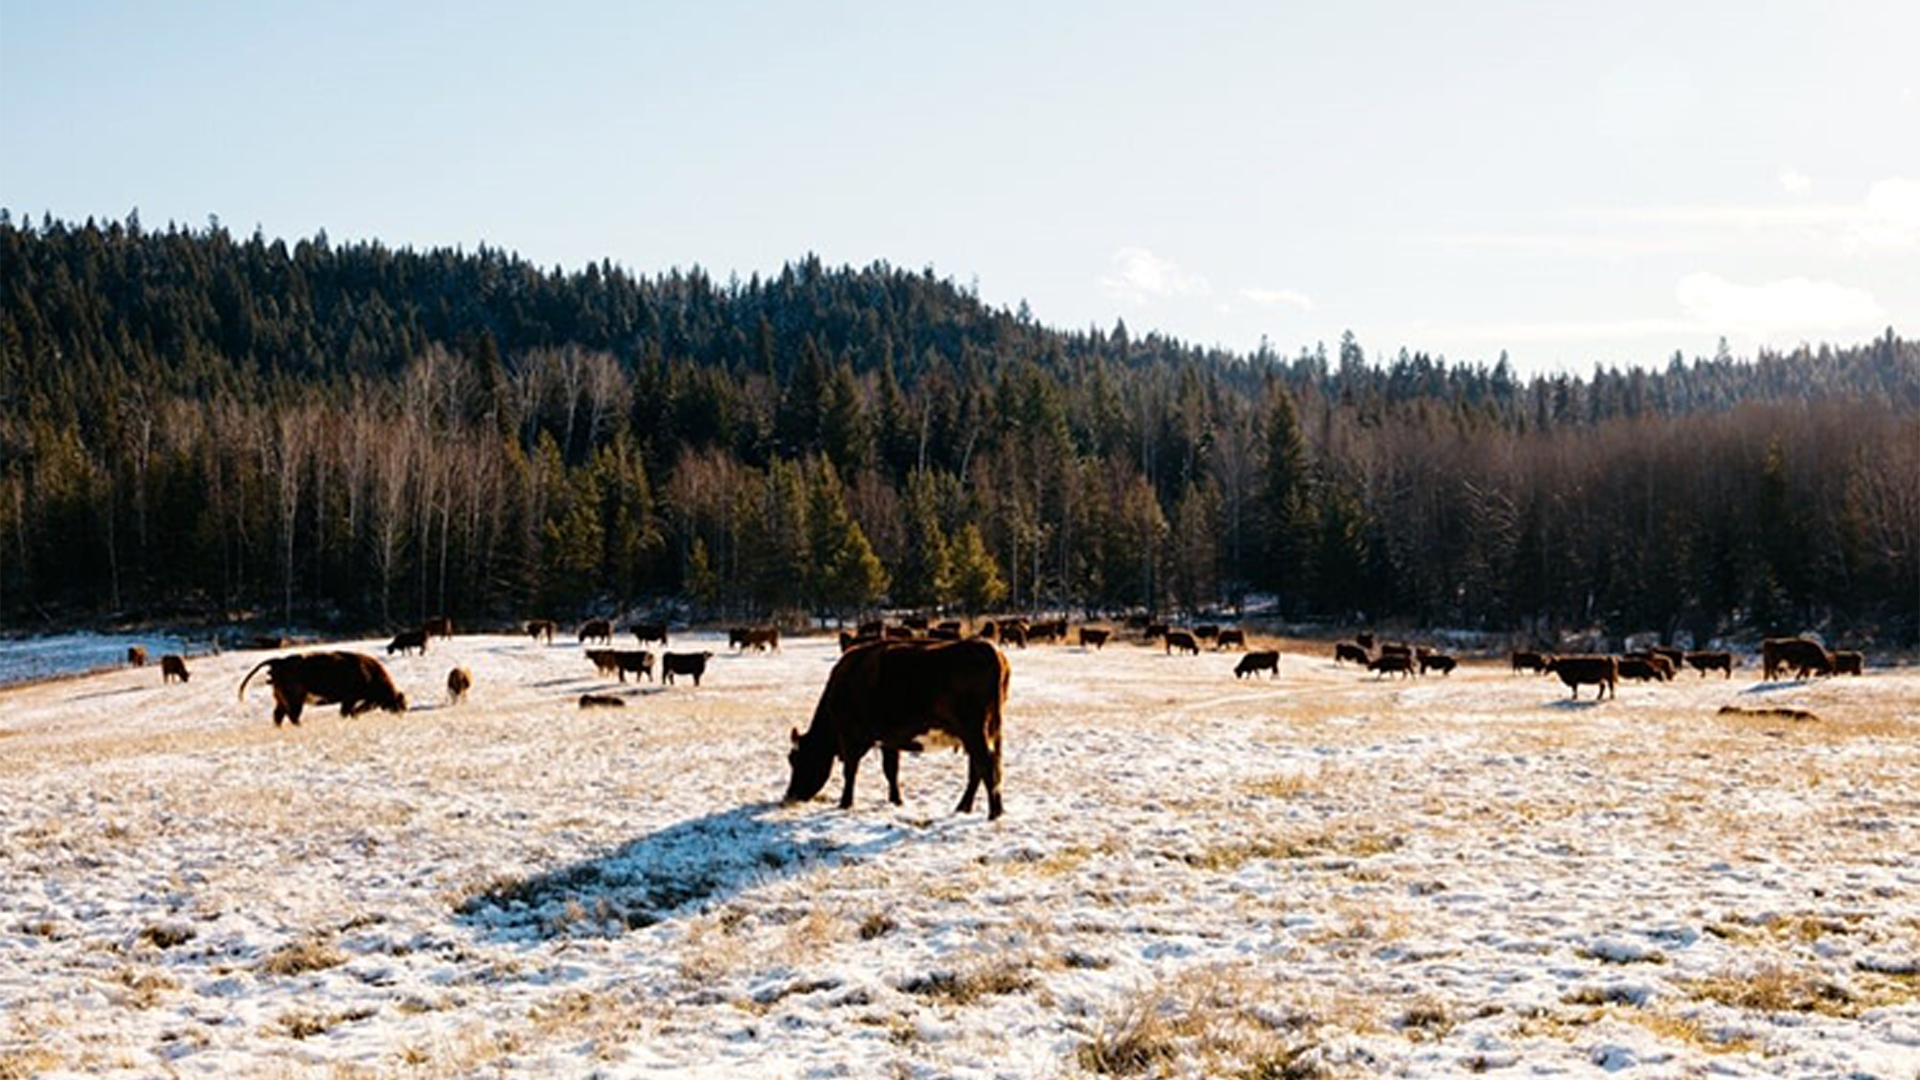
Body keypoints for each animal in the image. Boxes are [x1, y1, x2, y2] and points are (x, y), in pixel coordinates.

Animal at [238, 645, 407, 722]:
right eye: (399, 702)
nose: (402, 712)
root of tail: (279, 661)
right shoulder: (350, 699)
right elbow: (348, 711)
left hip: (282, 700)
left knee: (278, 715)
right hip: (295, 700)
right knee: (292, 716)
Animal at [783, 638, 1013, 814]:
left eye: (797, 759)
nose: (790, 795)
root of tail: (989, 649)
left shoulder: (851, 739)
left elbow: (850, 771)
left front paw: (845, 803)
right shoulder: (888, 740)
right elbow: (891, 770)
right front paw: (896, 800)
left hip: (974, 733)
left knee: (986, 766)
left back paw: (994, 813)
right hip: (981, 735)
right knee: (979, 769)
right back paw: (966, 808)